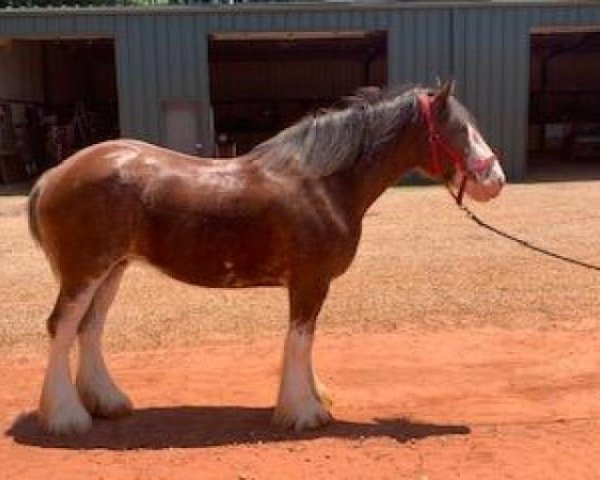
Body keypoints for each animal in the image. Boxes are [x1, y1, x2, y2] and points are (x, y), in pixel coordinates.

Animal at [29, 82, 506, 436]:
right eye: (456, 130)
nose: (495, 180)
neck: (323, 182)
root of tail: (55, 175)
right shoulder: (309, 281)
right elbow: (299, 340)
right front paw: (303, 413)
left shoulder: (312, 283)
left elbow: (306, 342)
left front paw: (315, 399)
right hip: (85, 272)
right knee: (62, 327)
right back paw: (67, 418)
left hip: (111, 270)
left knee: (89, 329)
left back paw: (107, 403)